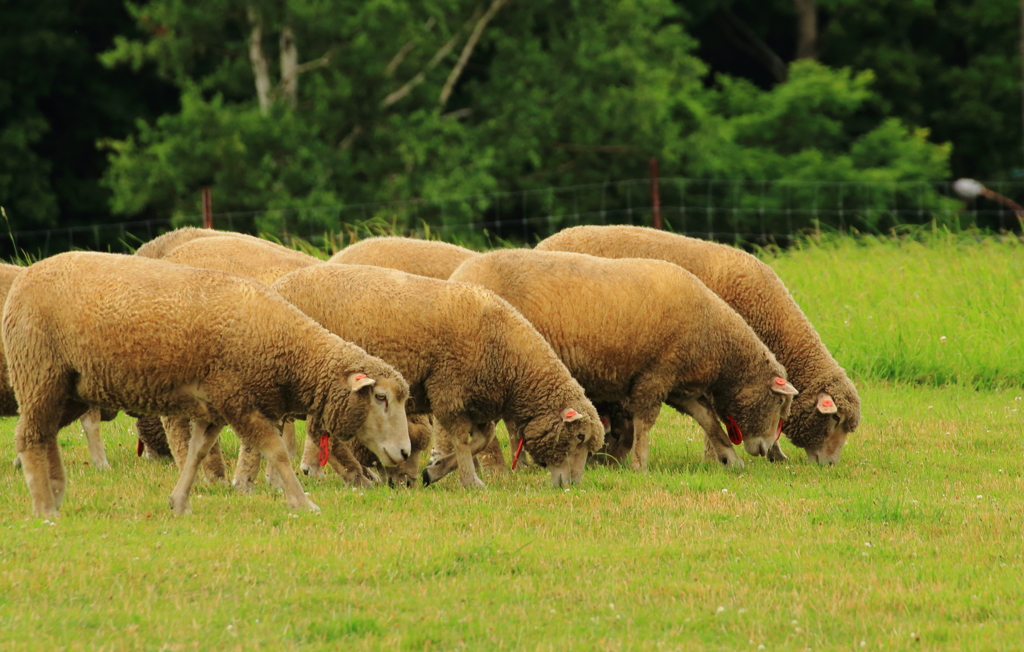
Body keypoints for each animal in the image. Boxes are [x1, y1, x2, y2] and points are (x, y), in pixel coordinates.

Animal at [4, 251, 411, 515]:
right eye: (380, 397)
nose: (405, 452)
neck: (287, 348)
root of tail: (22, 279)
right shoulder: (238, 400)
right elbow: (276, 451)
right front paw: (303, 502)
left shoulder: (214, 406)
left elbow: (197, 453)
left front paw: (179, 502)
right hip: (38, 371)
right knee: (29, 437)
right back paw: (44, 507)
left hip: (67, 388)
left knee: (44, 435)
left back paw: (56, 493)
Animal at [260, 262, 602, 485]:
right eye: (579, 437)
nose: (572, 486)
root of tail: (276, 286)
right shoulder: (449, 389)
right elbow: (464, 441)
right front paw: (470, 481)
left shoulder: (477, 400)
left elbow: (482, 439)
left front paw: (434, 470)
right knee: (323, 433)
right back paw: (357, 477)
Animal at [450, 247, 798, 468]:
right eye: (779, 402)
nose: (766, 450)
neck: (715, 337)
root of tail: (457, 276)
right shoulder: (655, 374)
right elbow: (645, 422)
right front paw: (640, 465)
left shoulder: (678, 386)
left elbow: (708, 420)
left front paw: (731, 458)